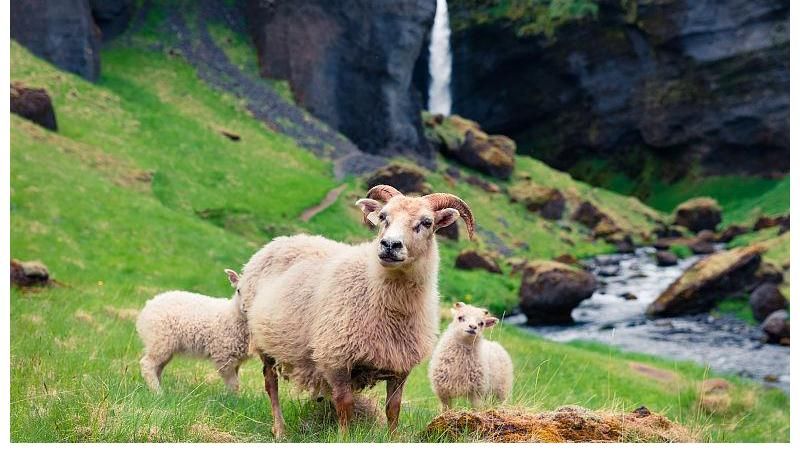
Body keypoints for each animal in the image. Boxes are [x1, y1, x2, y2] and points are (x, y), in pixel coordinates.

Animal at [134, 268, 248, 396]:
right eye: (238, 290)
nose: (245, 308)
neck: (232, 314)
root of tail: (148, 305)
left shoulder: (236, 358)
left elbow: (235, 381)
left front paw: (234, 398)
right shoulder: (223, 355)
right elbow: (233, 383)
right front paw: (232, 398)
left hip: (164, 345)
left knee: (157, 368)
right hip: (160, 341)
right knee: (147, 364)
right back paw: (158, 393)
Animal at [238, 185, 476, 438]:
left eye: (427, 222)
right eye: (383, 217)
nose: (390, 245)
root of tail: (280, 241)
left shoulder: (400, 366)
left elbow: (393, 409)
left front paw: (392, 439)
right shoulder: (336, 359)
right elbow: (345, 406)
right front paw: (343, 438)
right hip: (263, 341)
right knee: (270, 384)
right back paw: (280, 429)